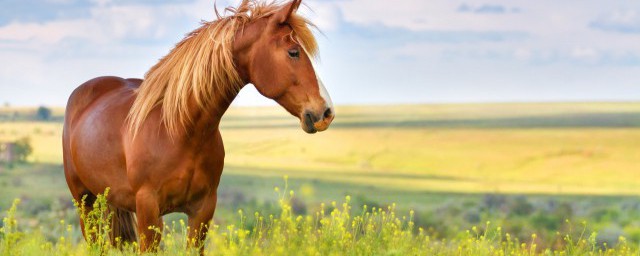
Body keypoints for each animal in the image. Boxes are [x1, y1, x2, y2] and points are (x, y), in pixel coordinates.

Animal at [62, 0, 336, 252]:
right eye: (293, 52)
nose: (326, 112)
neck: (179, 131)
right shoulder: (148, 210)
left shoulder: (202, 211)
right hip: (84, 202)